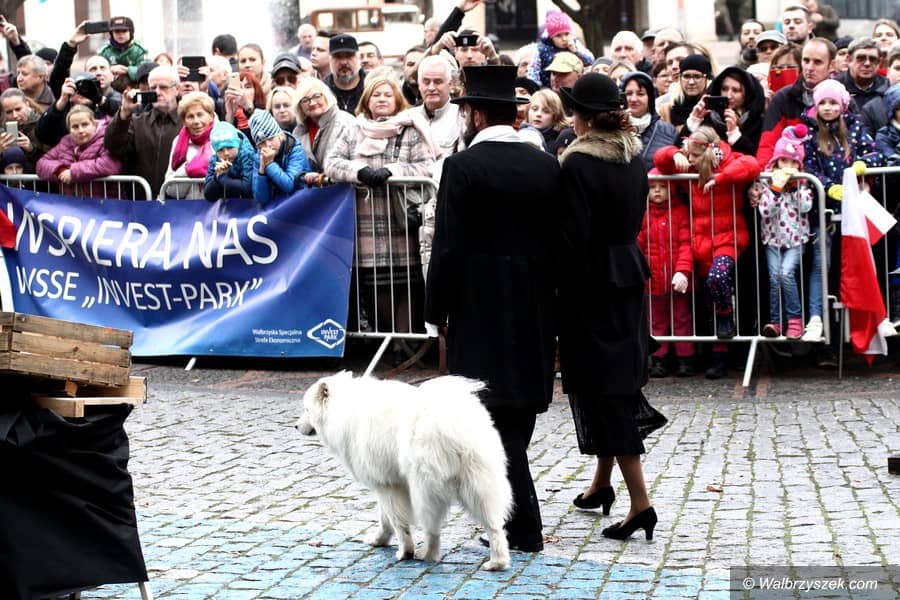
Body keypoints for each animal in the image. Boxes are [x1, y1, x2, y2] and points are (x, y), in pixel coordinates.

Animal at [300, 371, 512, 570]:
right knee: (494, 525)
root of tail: (453, 424)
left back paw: (427, 554)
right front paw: (379, 540)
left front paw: (405, 551)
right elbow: (385, 519)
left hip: (424, 488)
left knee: (433, 529)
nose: (295, 425)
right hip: (478, 483)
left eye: (306, 409)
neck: (344, 408)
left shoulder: (388, 486)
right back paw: (498, 562)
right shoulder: (387, 484)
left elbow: (398, 522)